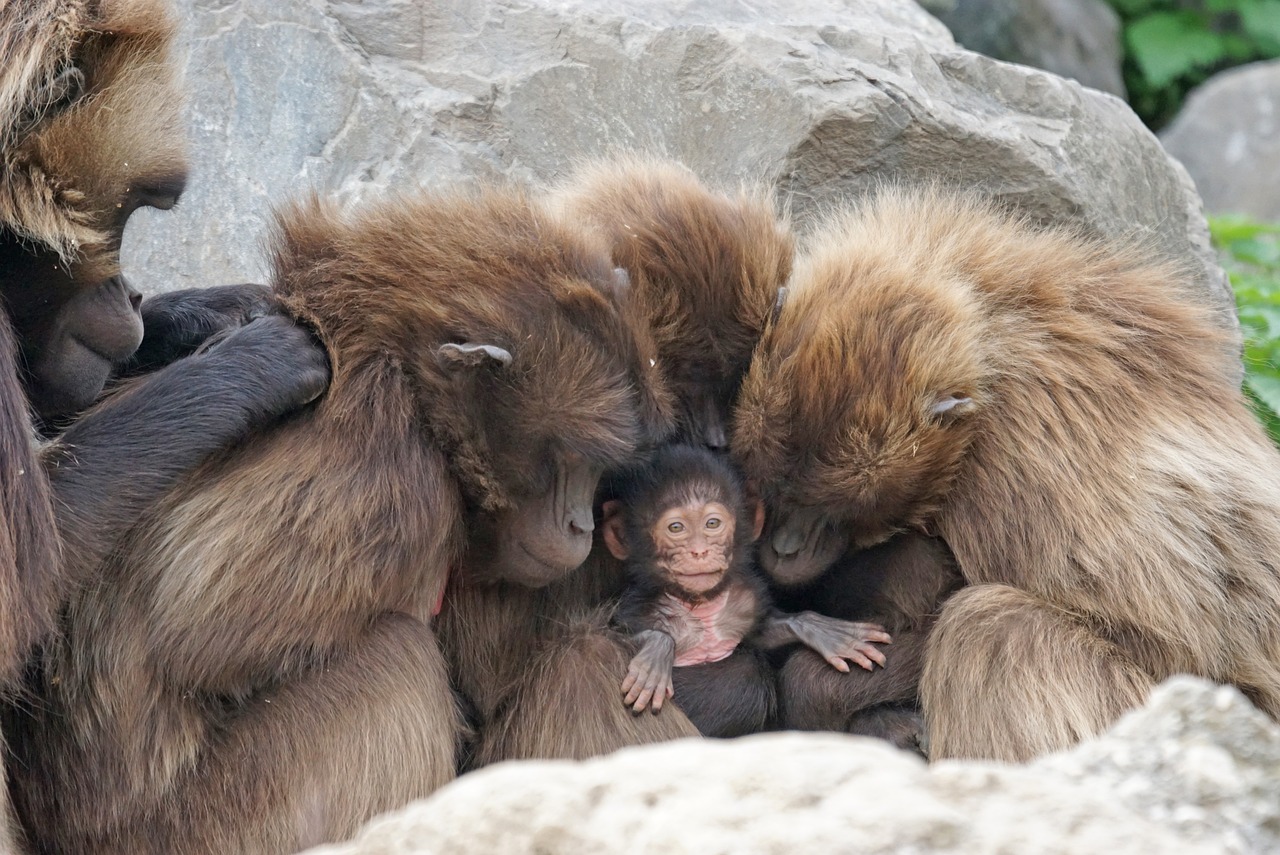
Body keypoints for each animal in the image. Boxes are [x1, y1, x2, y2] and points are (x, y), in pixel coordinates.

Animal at [604, 447, 896, 737]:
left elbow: (760, 635)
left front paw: (817, 628)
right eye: (676, 528)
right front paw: (656, 651)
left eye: (712, 524)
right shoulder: (639, 608)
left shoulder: (743, 601)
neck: (699, 606)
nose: (699, 551)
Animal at [737, 185, 1280, 762]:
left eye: (836, 512)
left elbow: (1161, 638)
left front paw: (819, 689)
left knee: (992, 627)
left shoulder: (1014, 466)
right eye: (777, 489)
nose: (785, 550)